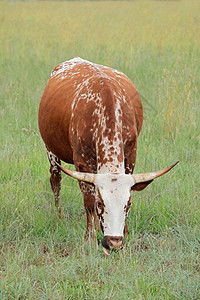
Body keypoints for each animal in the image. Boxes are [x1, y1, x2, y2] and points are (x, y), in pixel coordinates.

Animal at [38, 56, 179, 253]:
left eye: (128, 204)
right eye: (101, 203)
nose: (114, 242)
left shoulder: (130, 156)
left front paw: (124, 233)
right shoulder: (81, 162)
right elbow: (88, 200)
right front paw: (90, 239)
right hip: (51, 150)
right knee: (55, 180)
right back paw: (59, 216)